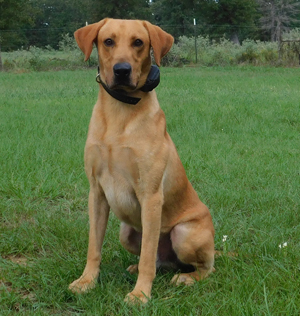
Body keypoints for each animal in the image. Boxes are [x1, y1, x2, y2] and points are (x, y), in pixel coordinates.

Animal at [69, 17, 214, 304]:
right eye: (108, 41)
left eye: (138, 42)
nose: (122, 70)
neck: (120, 113)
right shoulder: (97, 192)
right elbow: (94, 247)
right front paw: (87, 281)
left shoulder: (150, 195)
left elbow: (148, 254)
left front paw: (140, 294)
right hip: (126, 232)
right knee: (161, 260)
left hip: (184, 234)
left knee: (203, 267)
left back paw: (186, 278)